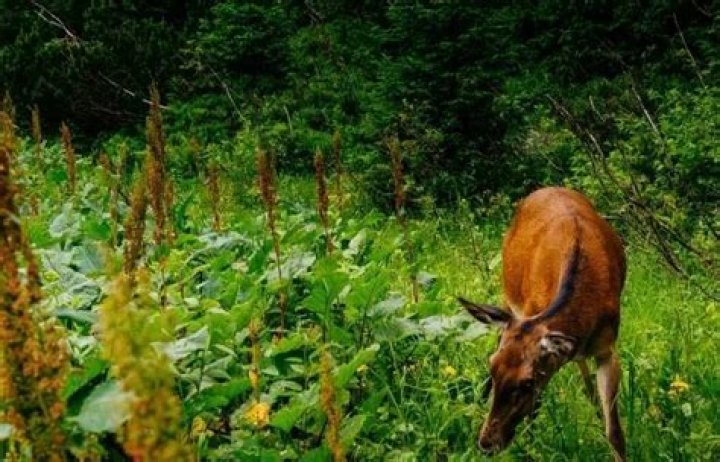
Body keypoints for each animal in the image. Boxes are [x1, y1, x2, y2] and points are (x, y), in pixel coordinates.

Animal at [458, 187, 626, 461]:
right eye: (492, 366)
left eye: (527, 382)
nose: (486, 443)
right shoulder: (527, 310)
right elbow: (535, 408)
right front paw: (531, 445)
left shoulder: (607, 347)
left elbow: (615, 433)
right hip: (507, 296)